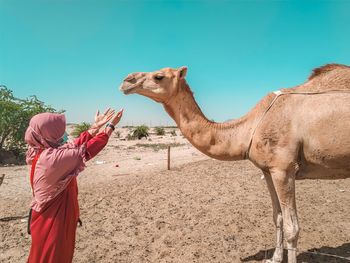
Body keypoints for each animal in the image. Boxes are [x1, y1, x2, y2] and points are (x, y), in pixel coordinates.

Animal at [119, 64, 350, 263]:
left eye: (159, 76)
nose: (126, 80)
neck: (252, 126)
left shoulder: (284, 168)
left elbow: (292, 227)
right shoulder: (268, 169)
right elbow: (277, 217)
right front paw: (274, 258)